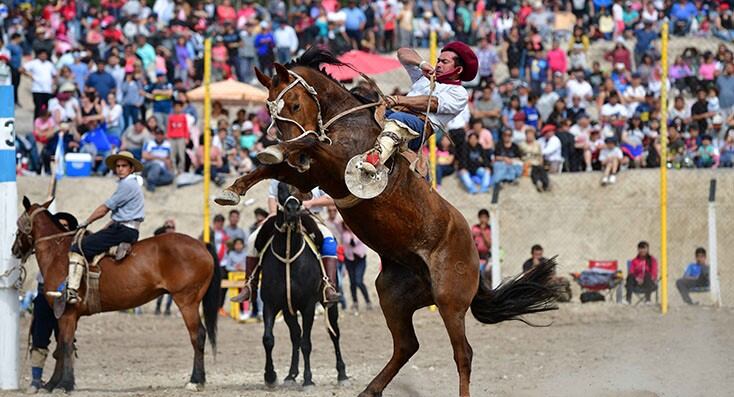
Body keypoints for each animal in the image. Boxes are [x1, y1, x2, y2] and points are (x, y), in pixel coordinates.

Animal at [12, 196, 218, 392]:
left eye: (18, 225)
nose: (14, 249)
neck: (59, 254)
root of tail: (201, 245)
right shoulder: (65, 316)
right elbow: (62, 346)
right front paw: (53, 383)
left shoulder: (67, 314)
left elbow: (66, 345)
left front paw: (64, 384)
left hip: (187, 302)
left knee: (198, 335)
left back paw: (195, 381)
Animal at [216, 49, 560, 396]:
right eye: (269, 111)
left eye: (296, 105)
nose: (293, 154)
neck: (347, 121)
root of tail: (473, 252)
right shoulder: (310, 174)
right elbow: (272, 169)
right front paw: (234, 189)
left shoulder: (333, 164)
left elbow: (309, 143)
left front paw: (278, 151)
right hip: (392, 295)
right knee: (407, 345)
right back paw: (370, 389)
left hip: (450, 299)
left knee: (463, 353)